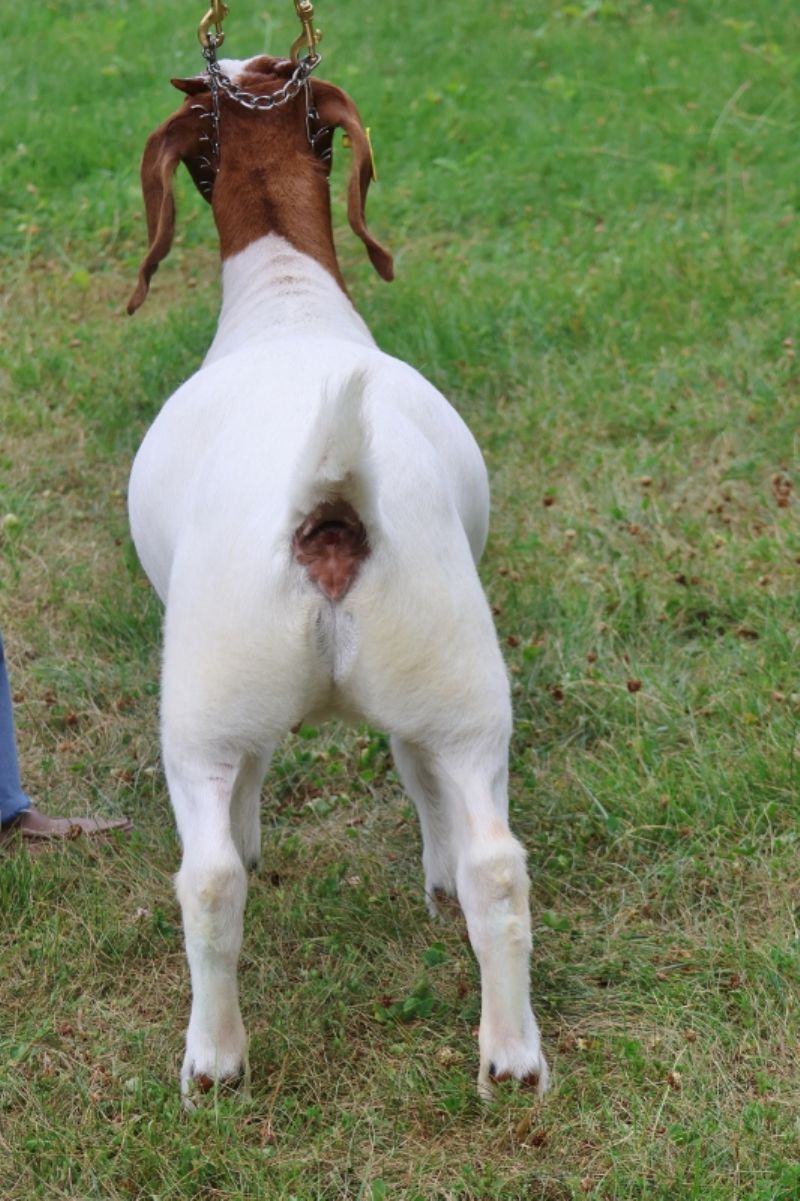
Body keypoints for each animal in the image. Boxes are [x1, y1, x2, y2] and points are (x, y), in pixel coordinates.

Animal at [127, 53, 549, 1102]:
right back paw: (513, 1053)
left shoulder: (230, 718)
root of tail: (328, 499)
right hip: (462, 683)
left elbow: (250, 808)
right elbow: (418, 779)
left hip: (199, 709)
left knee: (208, 880)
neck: (286, 303)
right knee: (498, 863)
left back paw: (214, 1060)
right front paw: (436, 877)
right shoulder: (417, 708)